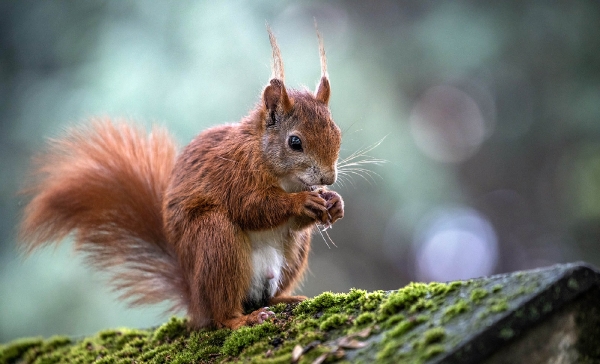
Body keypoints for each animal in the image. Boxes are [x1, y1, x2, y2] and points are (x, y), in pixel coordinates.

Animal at [18, 28, 344, 330]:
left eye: (337, 133)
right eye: (295, 142)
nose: (328, 178)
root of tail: (194, 299)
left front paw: (334, 203)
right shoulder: (234, 175)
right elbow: (251, 207)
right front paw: (301, 201)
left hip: (292, 253)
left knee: (267, 293)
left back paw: (284, 299)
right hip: (214, 239)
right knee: (221, 312)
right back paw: (243, 319)